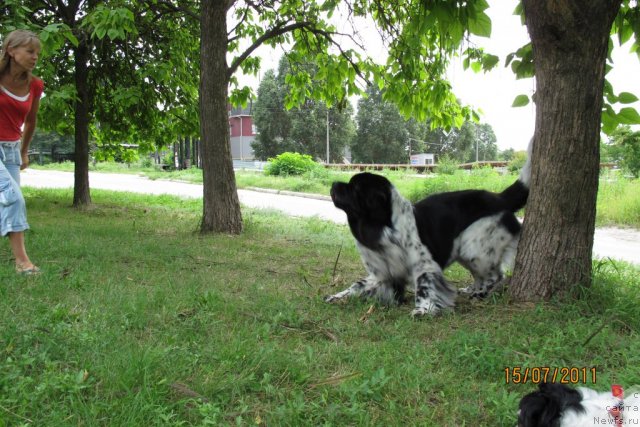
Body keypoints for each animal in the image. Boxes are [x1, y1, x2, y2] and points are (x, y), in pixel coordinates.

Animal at [324, 148, 528, 318]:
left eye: (354, 188)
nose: (333, 183)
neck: (384, 226)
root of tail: (499, 198)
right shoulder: (381, 273)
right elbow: (358, 285)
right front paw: (338, 296)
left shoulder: (424, 265)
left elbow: (424, 286)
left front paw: (423, 309)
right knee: (481, 275)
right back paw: (470, 290)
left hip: (473, 248)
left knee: (494, 275)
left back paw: (479, 294)